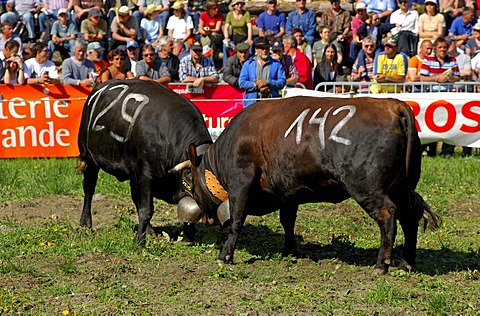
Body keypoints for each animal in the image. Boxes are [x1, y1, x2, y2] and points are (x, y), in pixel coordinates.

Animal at [77, 79, 212, 244]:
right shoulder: (146, 174)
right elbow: (146, 209)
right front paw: (140, 241)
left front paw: (188, 237)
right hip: (89, 158)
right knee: (89, 189)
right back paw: (85, 224)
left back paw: (150, 230)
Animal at [172, 95, 442, 274]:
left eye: (189, 182)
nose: (204, 217)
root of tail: (394, 105)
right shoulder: (288, 192)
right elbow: (288, 221)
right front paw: (290, 250)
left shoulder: (241, 183)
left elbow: (237, 220)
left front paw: (225, 254)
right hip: (403, 188)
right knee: (410, 217)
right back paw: (407, 262)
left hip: (368, 188)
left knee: (388, 216)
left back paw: (381, 265)